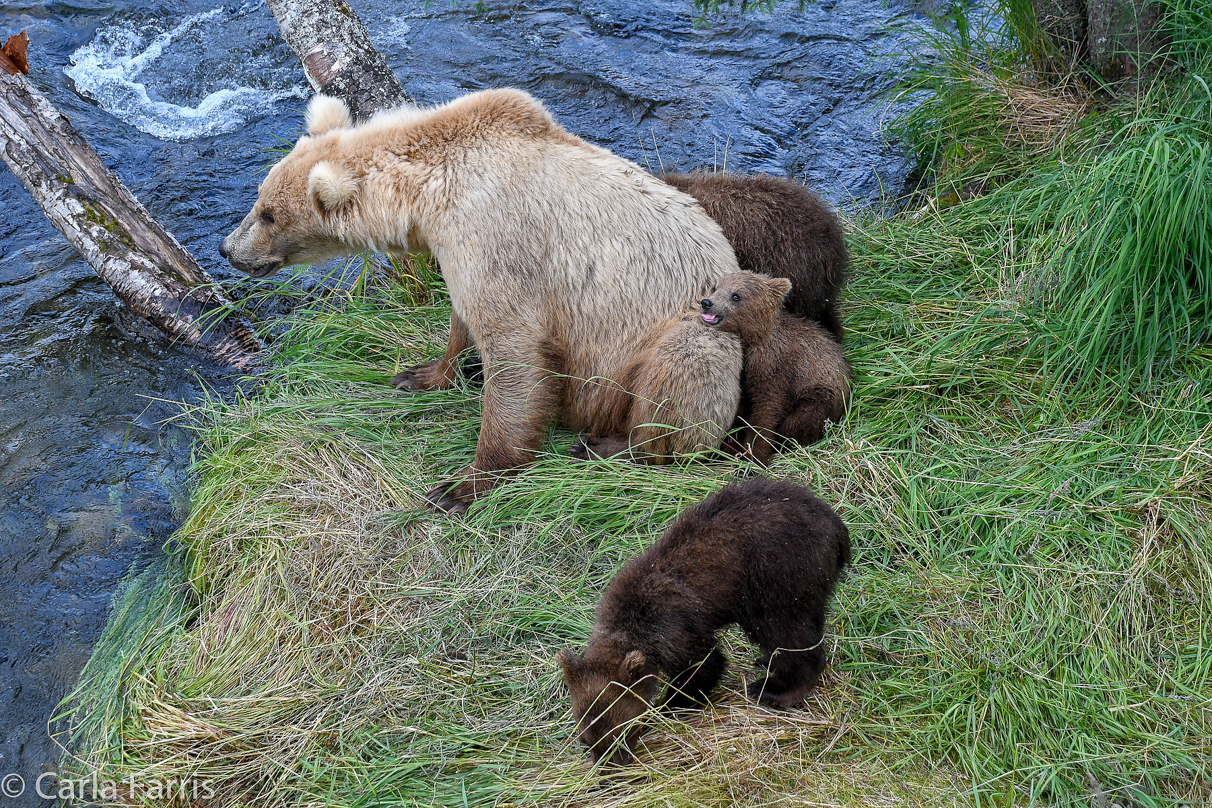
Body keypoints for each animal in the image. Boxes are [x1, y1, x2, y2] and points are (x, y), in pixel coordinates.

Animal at [223, 91, 741, 516]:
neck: (428, 192)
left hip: (695, 329)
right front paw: (421, 374)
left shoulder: (496, 237)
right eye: (259, 197)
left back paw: (607, 445)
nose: (229, 249)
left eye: (269, 214)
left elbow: (514, 354)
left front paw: (460, 487)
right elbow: (462, 319)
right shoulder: (458, 249)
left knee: (683, 375)